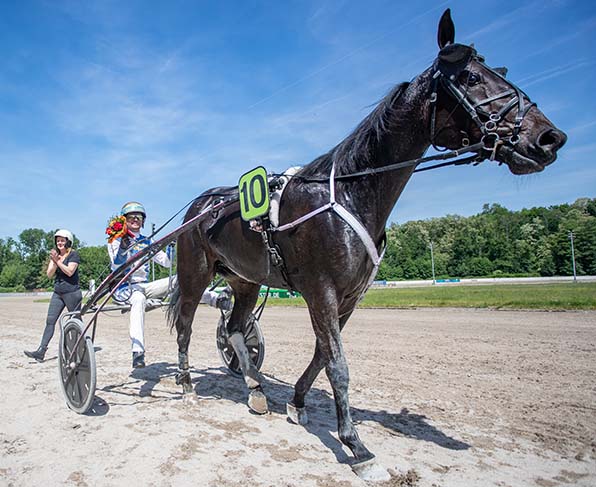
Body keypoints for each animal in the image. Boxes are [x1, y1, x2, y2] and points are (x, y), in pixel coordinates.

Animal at [166, 9, 564, 482]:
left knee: (235, 331)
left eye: (500, 70)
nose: (549, 138)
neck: (351, 191)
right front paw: (356, 445)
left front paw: (297, 403)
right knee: (187, 326)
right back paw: (186, 385)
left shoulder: (350, 296)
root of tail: (200, 204)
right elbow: (338, 365)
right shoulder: (321, 290)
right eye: (469, 76)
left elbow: (322, 354)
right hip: (195, 272)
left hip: (245, 280)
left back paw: (256, 389)